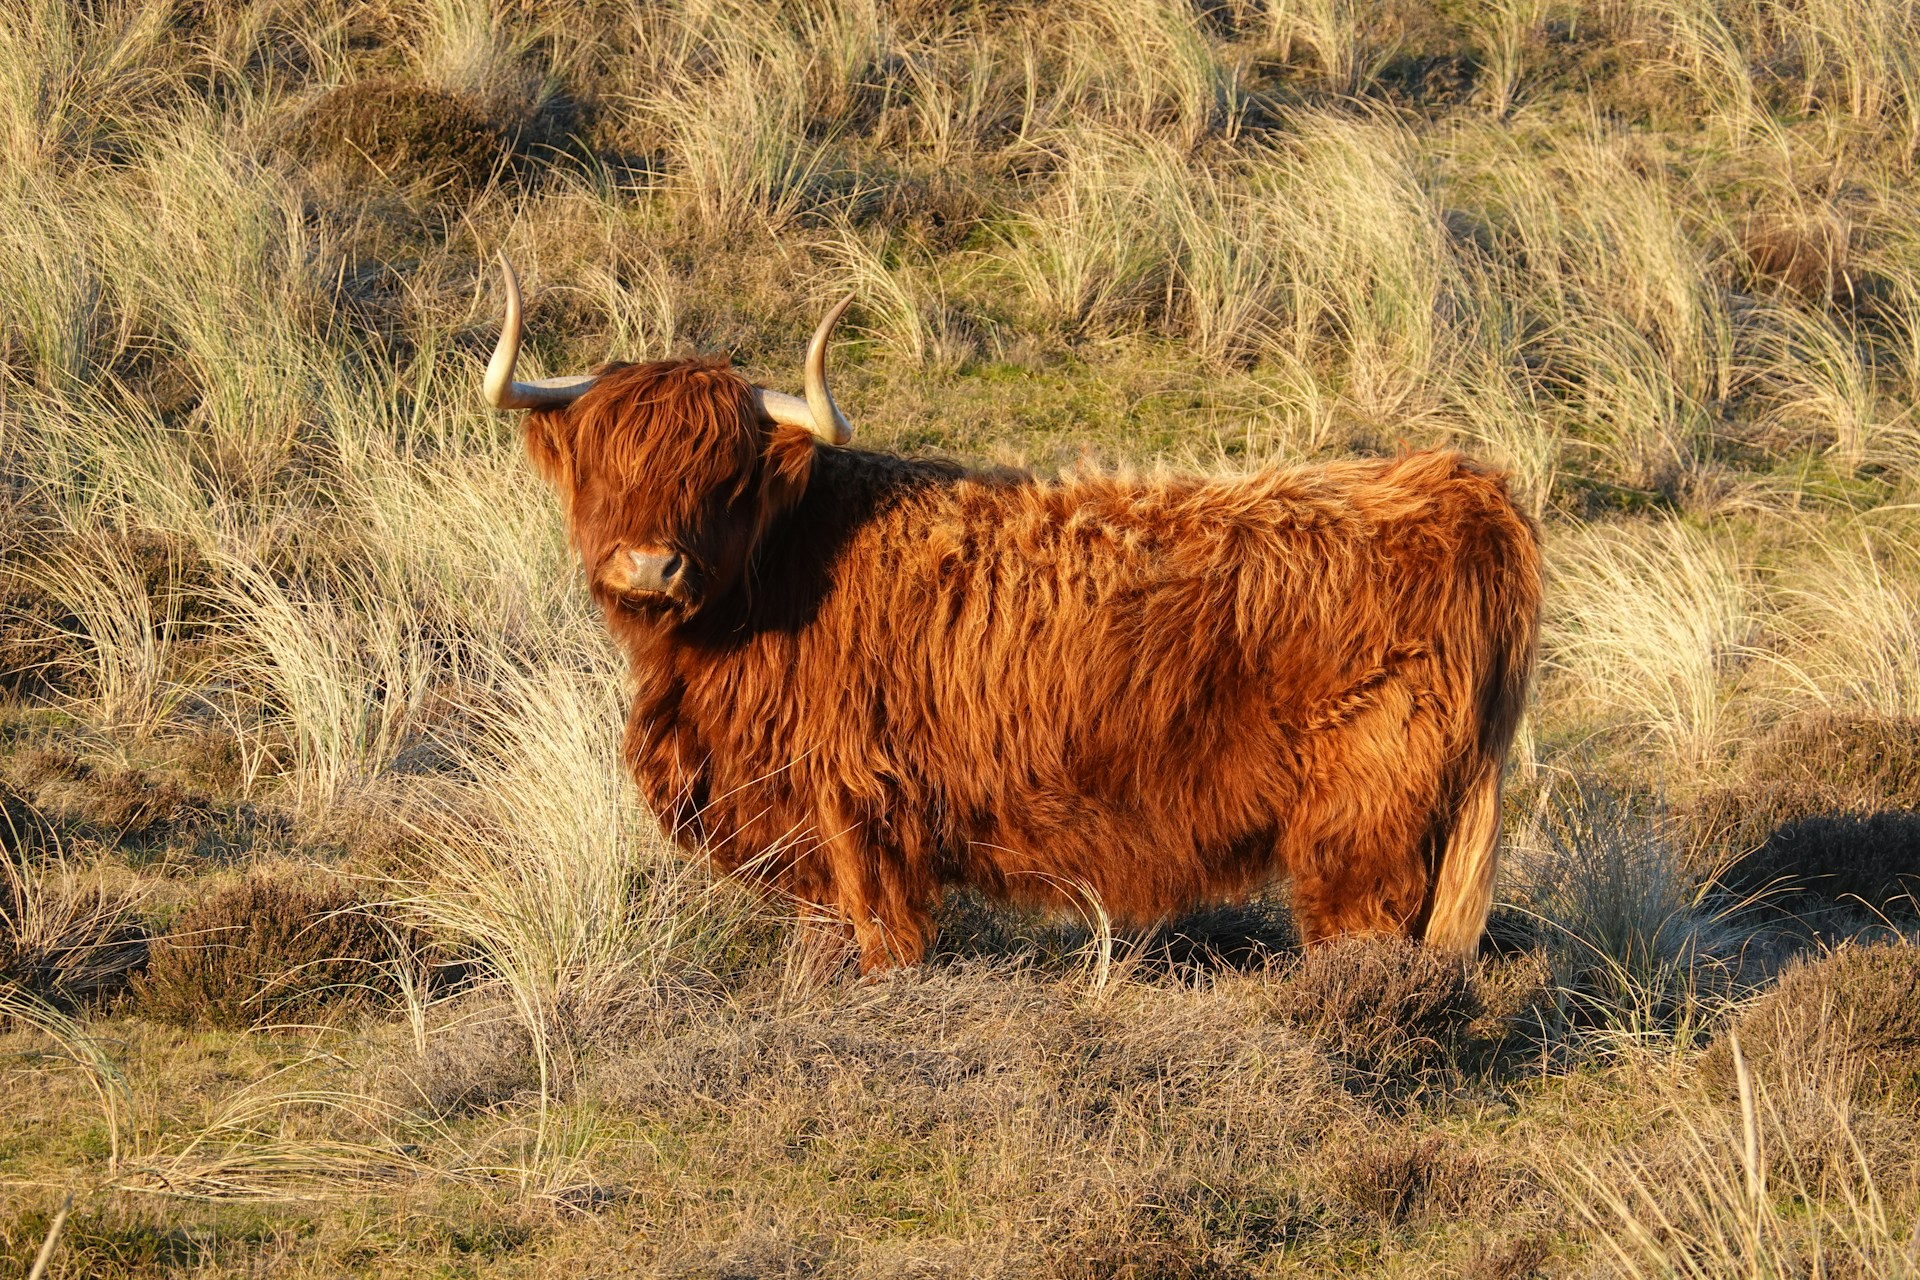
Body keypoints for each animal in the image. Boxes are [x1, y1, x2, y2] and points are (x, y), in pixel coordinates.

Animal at [482, 256, 1541, 974]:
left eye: (724, 473)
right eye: (605, 462)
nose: (650, 565)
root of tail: (1456, 486)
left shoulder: (857, 806)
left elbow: (884, 938)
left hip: (1365, 819)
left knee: (1364, 940)